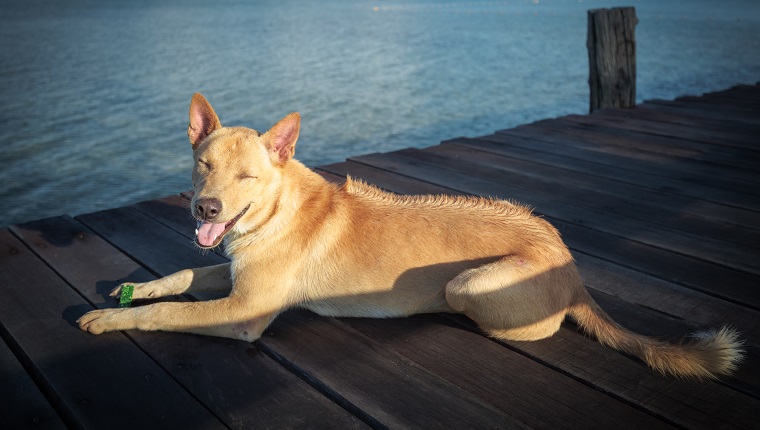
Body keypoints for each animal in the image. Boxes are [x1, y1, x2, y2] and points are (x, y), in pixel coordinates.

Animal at [77, 94, 744, 380]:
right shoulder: (229, 269)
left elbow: (167, 315)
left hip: (469, 285)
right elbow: (184, 273)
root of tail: (571, 265)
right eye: (203, 164)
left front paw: (114, 320)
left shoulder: (243, 312)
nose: (204, 207)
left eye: (248, 176)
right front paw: (136, 287)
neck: (272, 213)